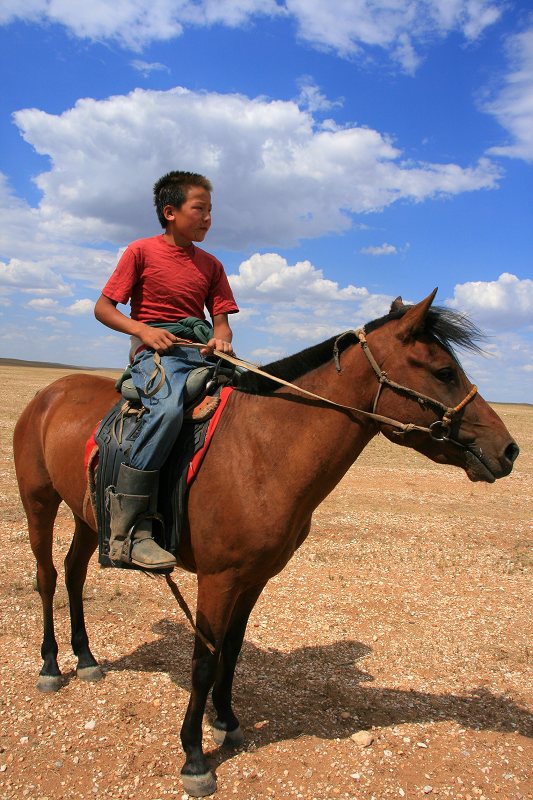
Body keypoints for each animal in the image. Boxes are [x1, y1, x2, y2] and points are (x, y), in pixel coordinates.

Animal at [13, 291, 519, 797]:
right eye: (444, 372)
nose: (510, 449)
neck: (262, 449)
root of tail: (48, 394)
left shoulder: (255, 578)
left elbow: (232, 651)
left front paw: (228, 722)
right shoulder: (217, 579)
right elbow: (203, 660)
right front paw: (195, 757)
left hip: (89, 517)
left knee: (74, 573)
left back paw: (86, 658)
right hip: (39, 501)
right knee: (48, 576)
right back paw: (51, 667)